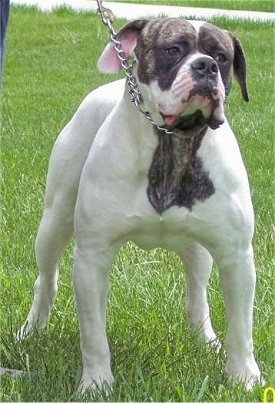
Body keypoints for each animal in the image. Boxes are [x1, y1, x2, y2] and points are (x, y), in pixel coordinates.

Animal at [18, 17, 264, 392]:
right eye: (172, 49)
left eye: (222, 56)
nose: (205, 66)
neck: (172, 144)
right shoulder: (93, 257)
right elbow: (93, 334)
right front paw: (96, 383)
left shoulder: (235, 256)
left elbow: (241, 328)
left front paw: (244, 377)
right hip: (53, 223)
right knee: (46, 280)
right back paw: (31, 330)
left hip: (199, 250)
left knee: (197, 292)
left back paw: (205, 339)